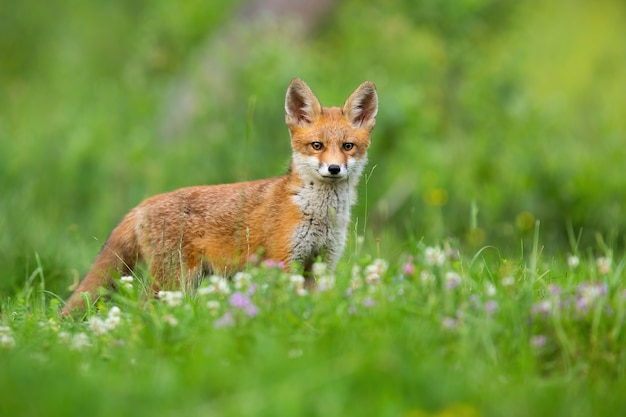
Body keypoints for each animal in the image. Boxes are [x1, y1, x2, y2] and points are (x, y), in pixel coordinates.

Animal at [62, 77, 376, 312]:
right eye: (317, 145)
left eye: (347, 146)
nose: (334, 169)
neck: (321, 215)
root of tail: (142, 205)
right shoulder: (284, 262)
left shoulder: (322, 264)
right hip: (175, 282)